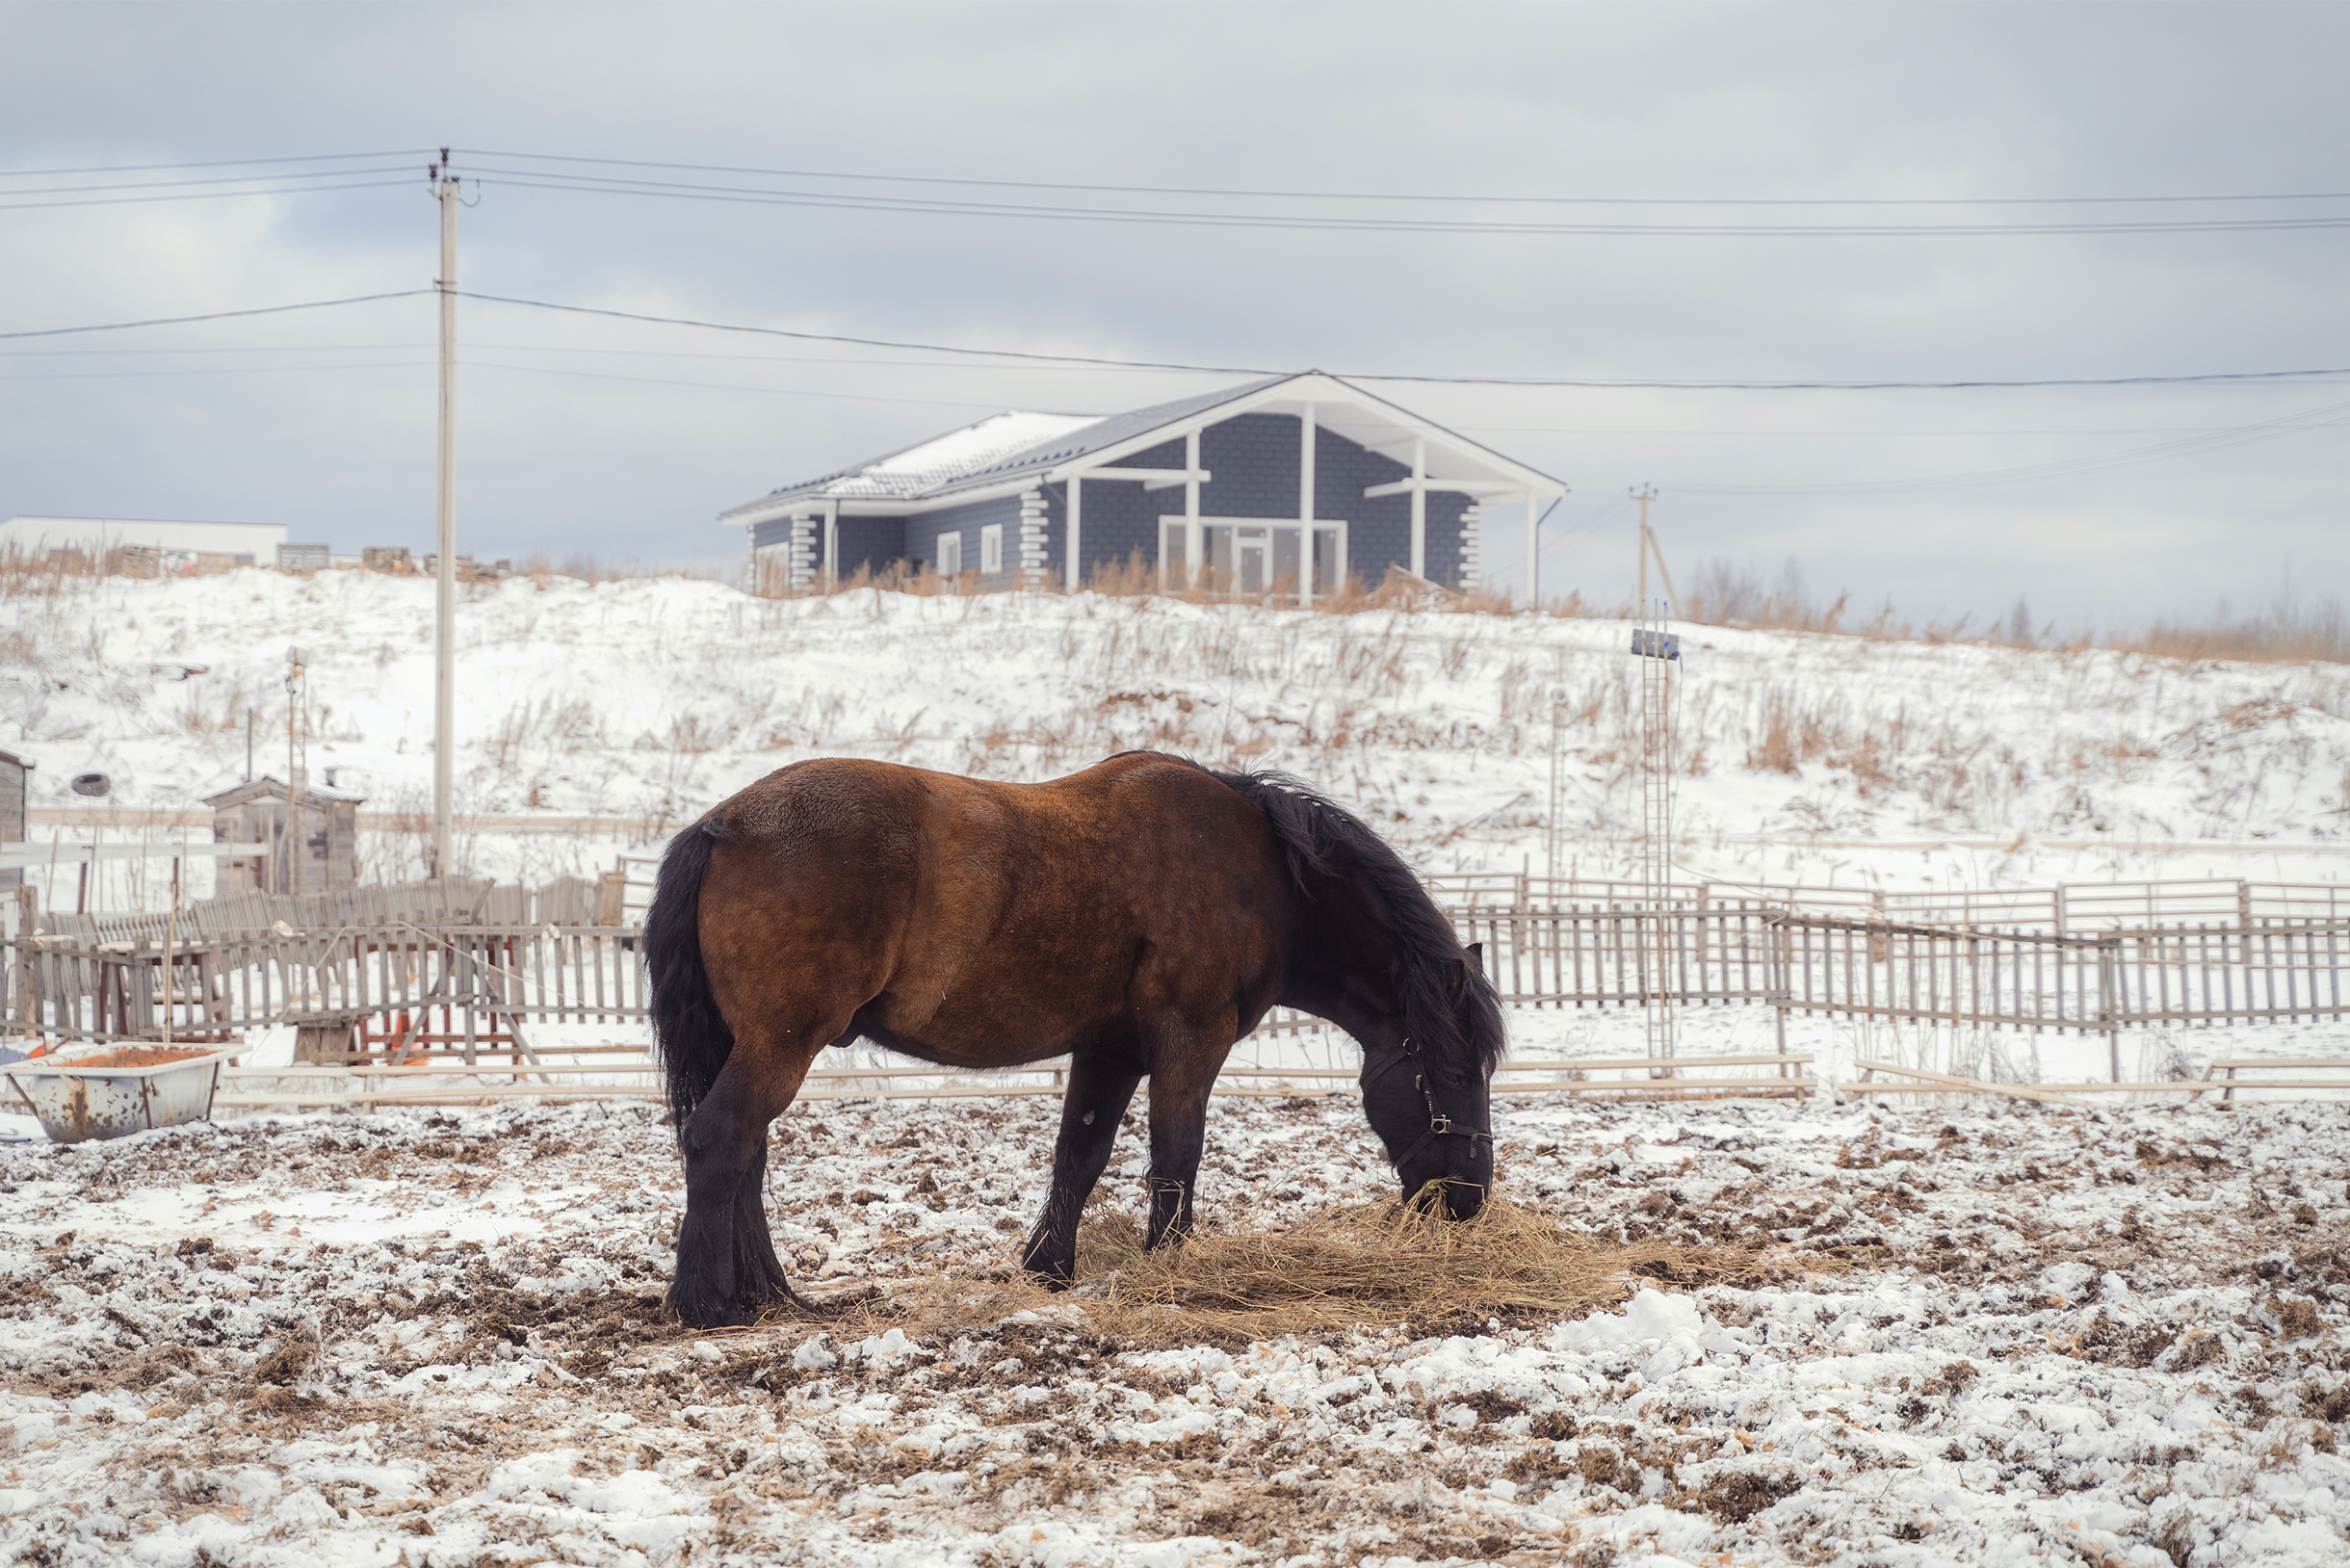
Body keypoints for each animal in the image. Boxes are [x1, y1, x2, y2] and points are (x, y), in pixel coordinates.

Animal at [643, 752, 1494, 1335]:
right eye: (1452, 1071)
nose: (1470, 1201)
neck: (1263, 875)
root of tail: (723, 825)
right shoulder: (1191, 1041)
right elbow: (1177, 1153)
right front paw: (1169, 1264)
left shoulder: (1110, 1051)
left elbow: (1079, 1155)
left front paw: (1047, 1269)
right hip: (781, 1043)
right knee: (722, 1139)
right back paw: (709, 1303)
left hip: (756, 1045)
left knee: (745, 1154)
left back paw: (768, 1294)